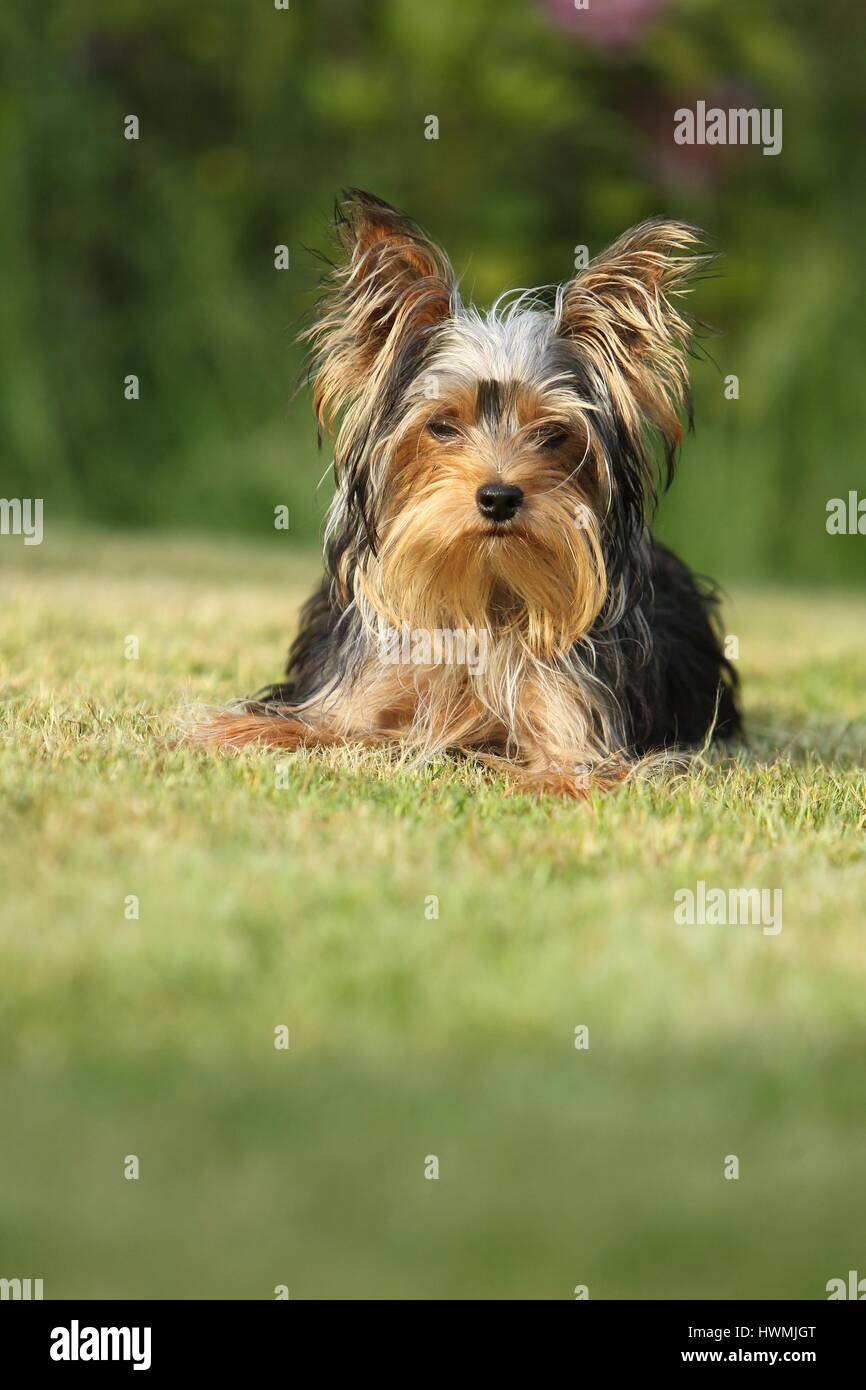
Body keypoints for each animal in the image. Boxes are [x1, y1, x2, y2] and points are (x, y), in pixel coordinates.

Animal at [195, 187, 739, 795]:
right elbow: (303, 725)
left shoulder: (576, 730)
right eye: (441, 426)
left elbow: (564, 773)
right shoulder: (354, 696)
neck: (484, 594)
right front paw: (225, 733)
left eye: (554, 434)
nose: (499, 497)